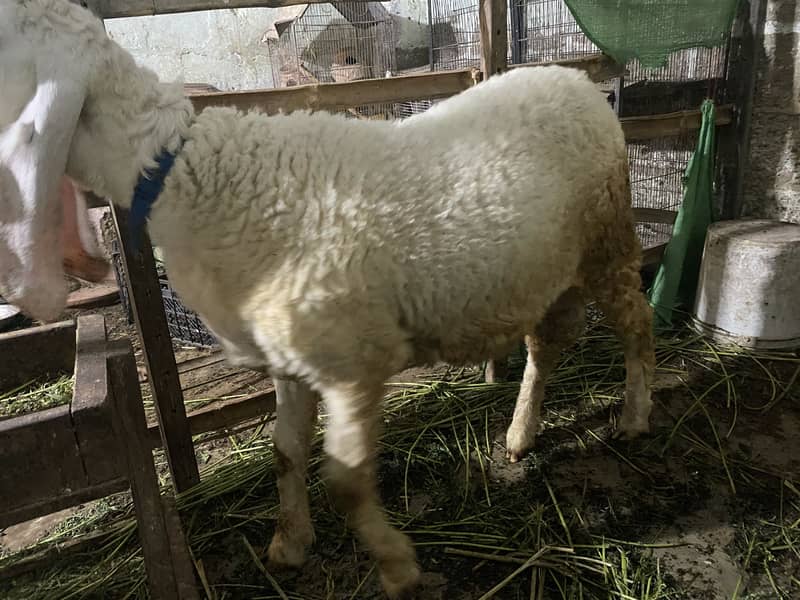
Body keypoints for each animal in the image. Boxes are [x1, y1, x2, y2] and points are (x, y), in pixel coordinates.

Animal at [0, 1, 656, 597]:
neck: (192, 176)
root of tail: (574, 79)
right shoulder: (291, 360)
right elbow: (285, 452)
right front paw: (290, 543)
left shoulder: (351, 363)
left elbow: (344, 481)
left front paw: (397, 567)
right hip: (548, 270)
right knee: (545, 348)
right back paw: (520, 434)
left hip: (608, 239)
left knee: (638, 324)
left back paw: (633, 415)